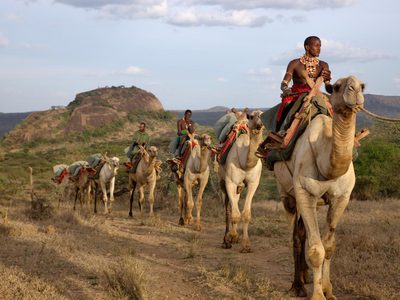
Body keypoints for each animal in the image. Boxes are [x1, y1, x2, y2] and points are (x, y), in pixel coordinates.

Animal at [219, 111, 262, 252]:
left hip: (240, 186)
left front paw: (246, 245)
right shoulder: (230, 182)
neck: (245, 163)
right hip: (222, 182)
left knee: (235, 201)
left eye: (262, 114)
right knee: (228, 208)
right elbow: (234, 213)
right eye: (251, 116)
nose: (259, 124)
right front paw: (232, 236)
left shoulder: (253, 184)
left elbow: (246, 214)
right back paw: (226, 240)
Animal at [274, 75, 364, 300]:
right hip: (287, 196)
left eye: (363, 85)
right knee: (296, 237)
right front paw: (316, 294)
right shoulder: (305, 193)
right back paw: (297, 285)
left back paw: (305, 277)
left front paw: (328, 289)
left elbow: (329, 246)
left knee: (302, 233)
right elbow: (316, 250)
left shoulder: (342, 197)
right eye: (338, 86)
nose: (355, 89)